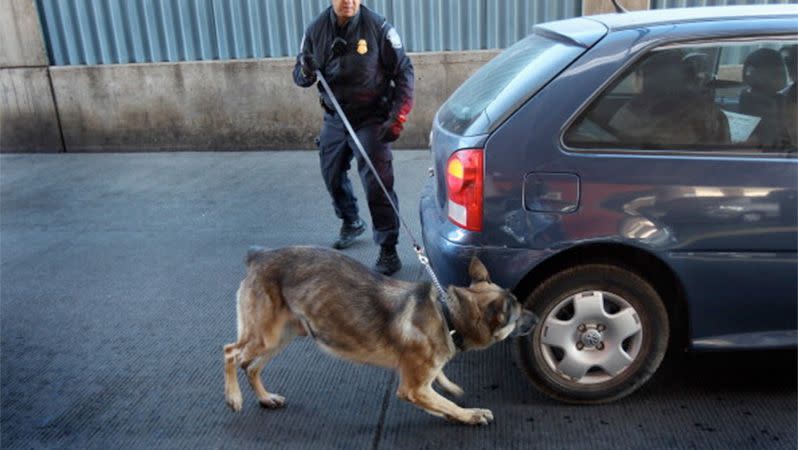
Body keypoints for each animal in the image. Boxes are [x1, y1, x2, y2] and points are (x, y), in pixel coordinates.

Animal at [225, 246, 536, 426]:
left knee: (250, 366)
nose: (535, 318)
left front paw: (449, 393)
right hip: (265, 336)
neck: (447, 314)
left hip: (281, 336)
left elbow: (441, 393)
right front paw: (470, 414)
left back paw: (266, 398)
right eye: (517, 314)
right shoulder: (412, 388)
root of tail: (258, 256)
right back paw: (234, 397)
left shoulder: (422, 383)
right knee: (231, 352)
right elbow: (446, 403)